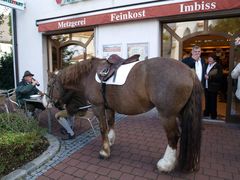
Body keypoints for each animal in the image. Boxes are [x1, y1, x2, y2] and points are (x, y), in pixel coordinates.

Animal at [47, 55, 202, 172]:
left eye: (49, 85)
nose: (54, 104)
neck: (89, 74)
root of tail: (189, 71)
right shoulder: (109, 107)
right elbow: (110, 124)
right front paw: (110, 142)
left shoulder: (98, 107)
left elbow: (102, 128)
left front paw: (104, 152)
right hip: (180, 114)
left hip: (167, 115)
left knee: (173, 136)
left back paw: (166, 164)